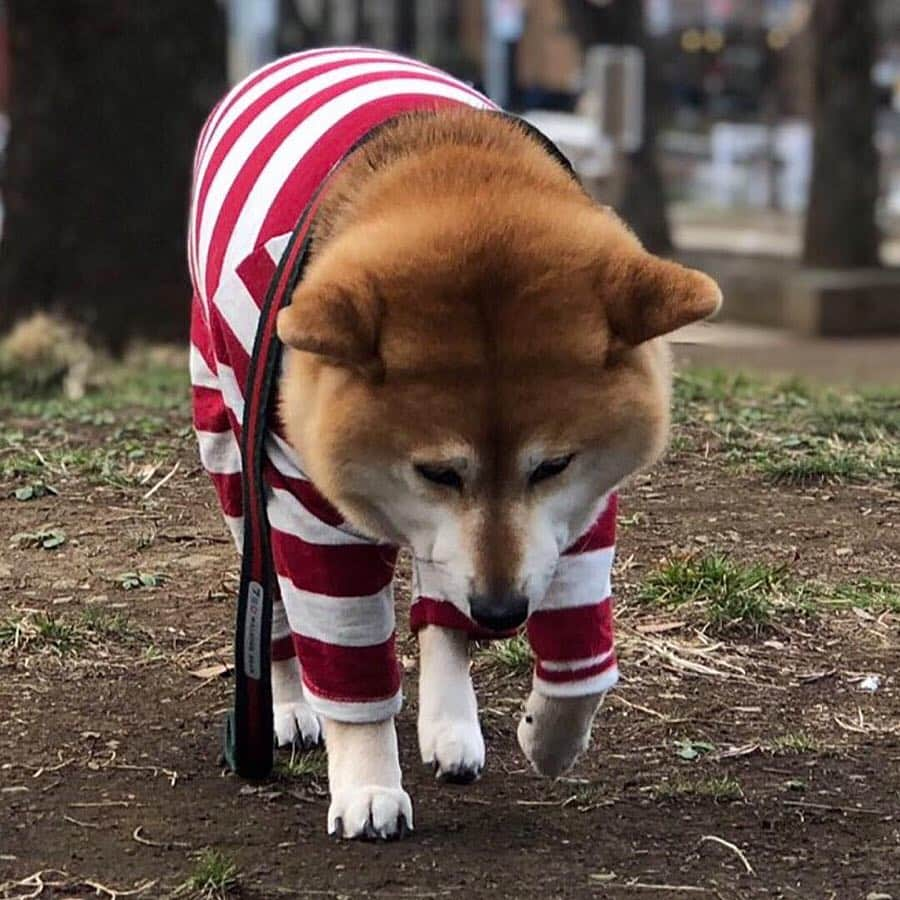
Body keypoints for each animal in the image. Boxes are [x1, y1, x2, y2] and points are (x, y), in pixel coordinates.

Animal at [188, 47, 716, 836]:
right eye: (436, 472)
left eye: (553, 465)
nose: (501, 613)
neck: (452, 170)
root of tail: (311, 53)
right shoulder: (303, 507)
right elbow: (348, 671)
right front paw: (368, 782)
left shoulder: (576, 515)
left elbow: (580, 661)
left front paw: (550, 735)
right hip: (233, 456)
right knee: (273, 609)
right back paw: (285, 704)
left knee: (441, 610)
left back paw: (451, 724)